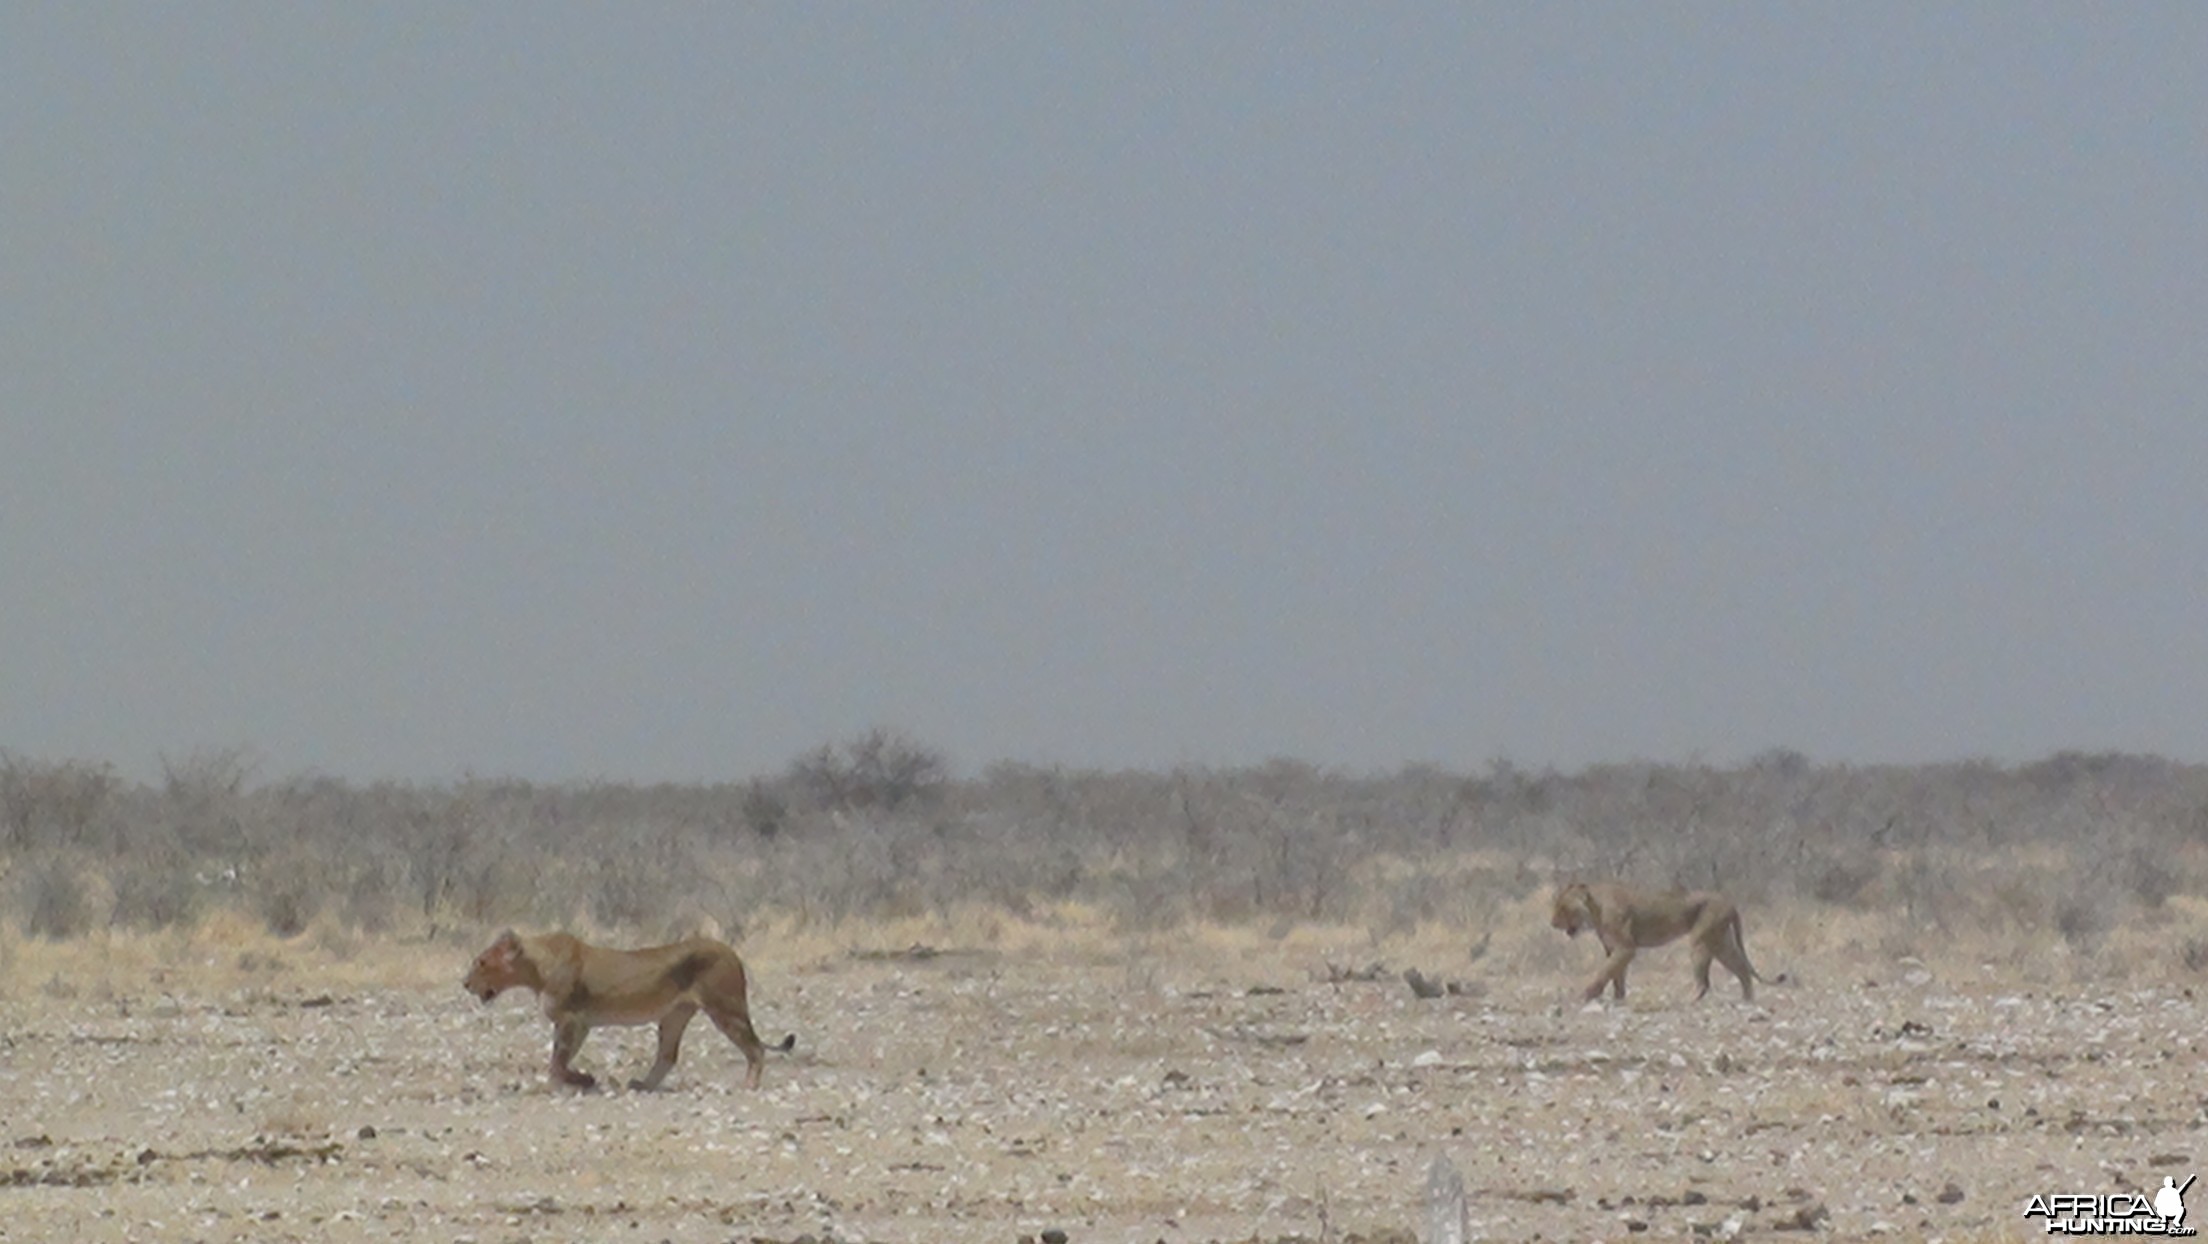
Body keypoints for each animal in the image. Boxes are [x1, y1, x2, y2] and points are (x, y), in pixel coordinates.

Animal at [461, 928, 799, 1095]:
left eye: (481, 962)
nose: (464, 983)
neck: (535, 967)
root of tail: (732, 952)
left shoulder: (572, 1020)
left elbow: (557, 1063)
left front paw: (580, 1081)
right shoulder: (578, 1024)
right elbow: (559, 1060)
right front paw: (577, 1081)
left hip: (725, 1008)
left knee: (755, 1048)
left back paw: (749, 1085)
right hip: (674, 1016)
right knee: (667, 1056)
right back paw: (644, 1085)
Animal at [1563, 879, 1766, 1007]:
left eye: (1562, 906)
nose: (1556, 922)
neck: (1595, 906)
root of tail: (1730, 903)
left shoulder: (1625, 947)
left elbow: (1607, 970)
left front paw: (1588, 995)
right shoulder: (1612, 948)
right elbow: (1616, 973)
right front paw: (1618, 998)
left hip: (1701, 938)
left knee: (1704, 982)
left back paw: (1689, 1000)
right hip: (1719, 941)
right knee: (1741, 969)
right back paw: (1747, 999)